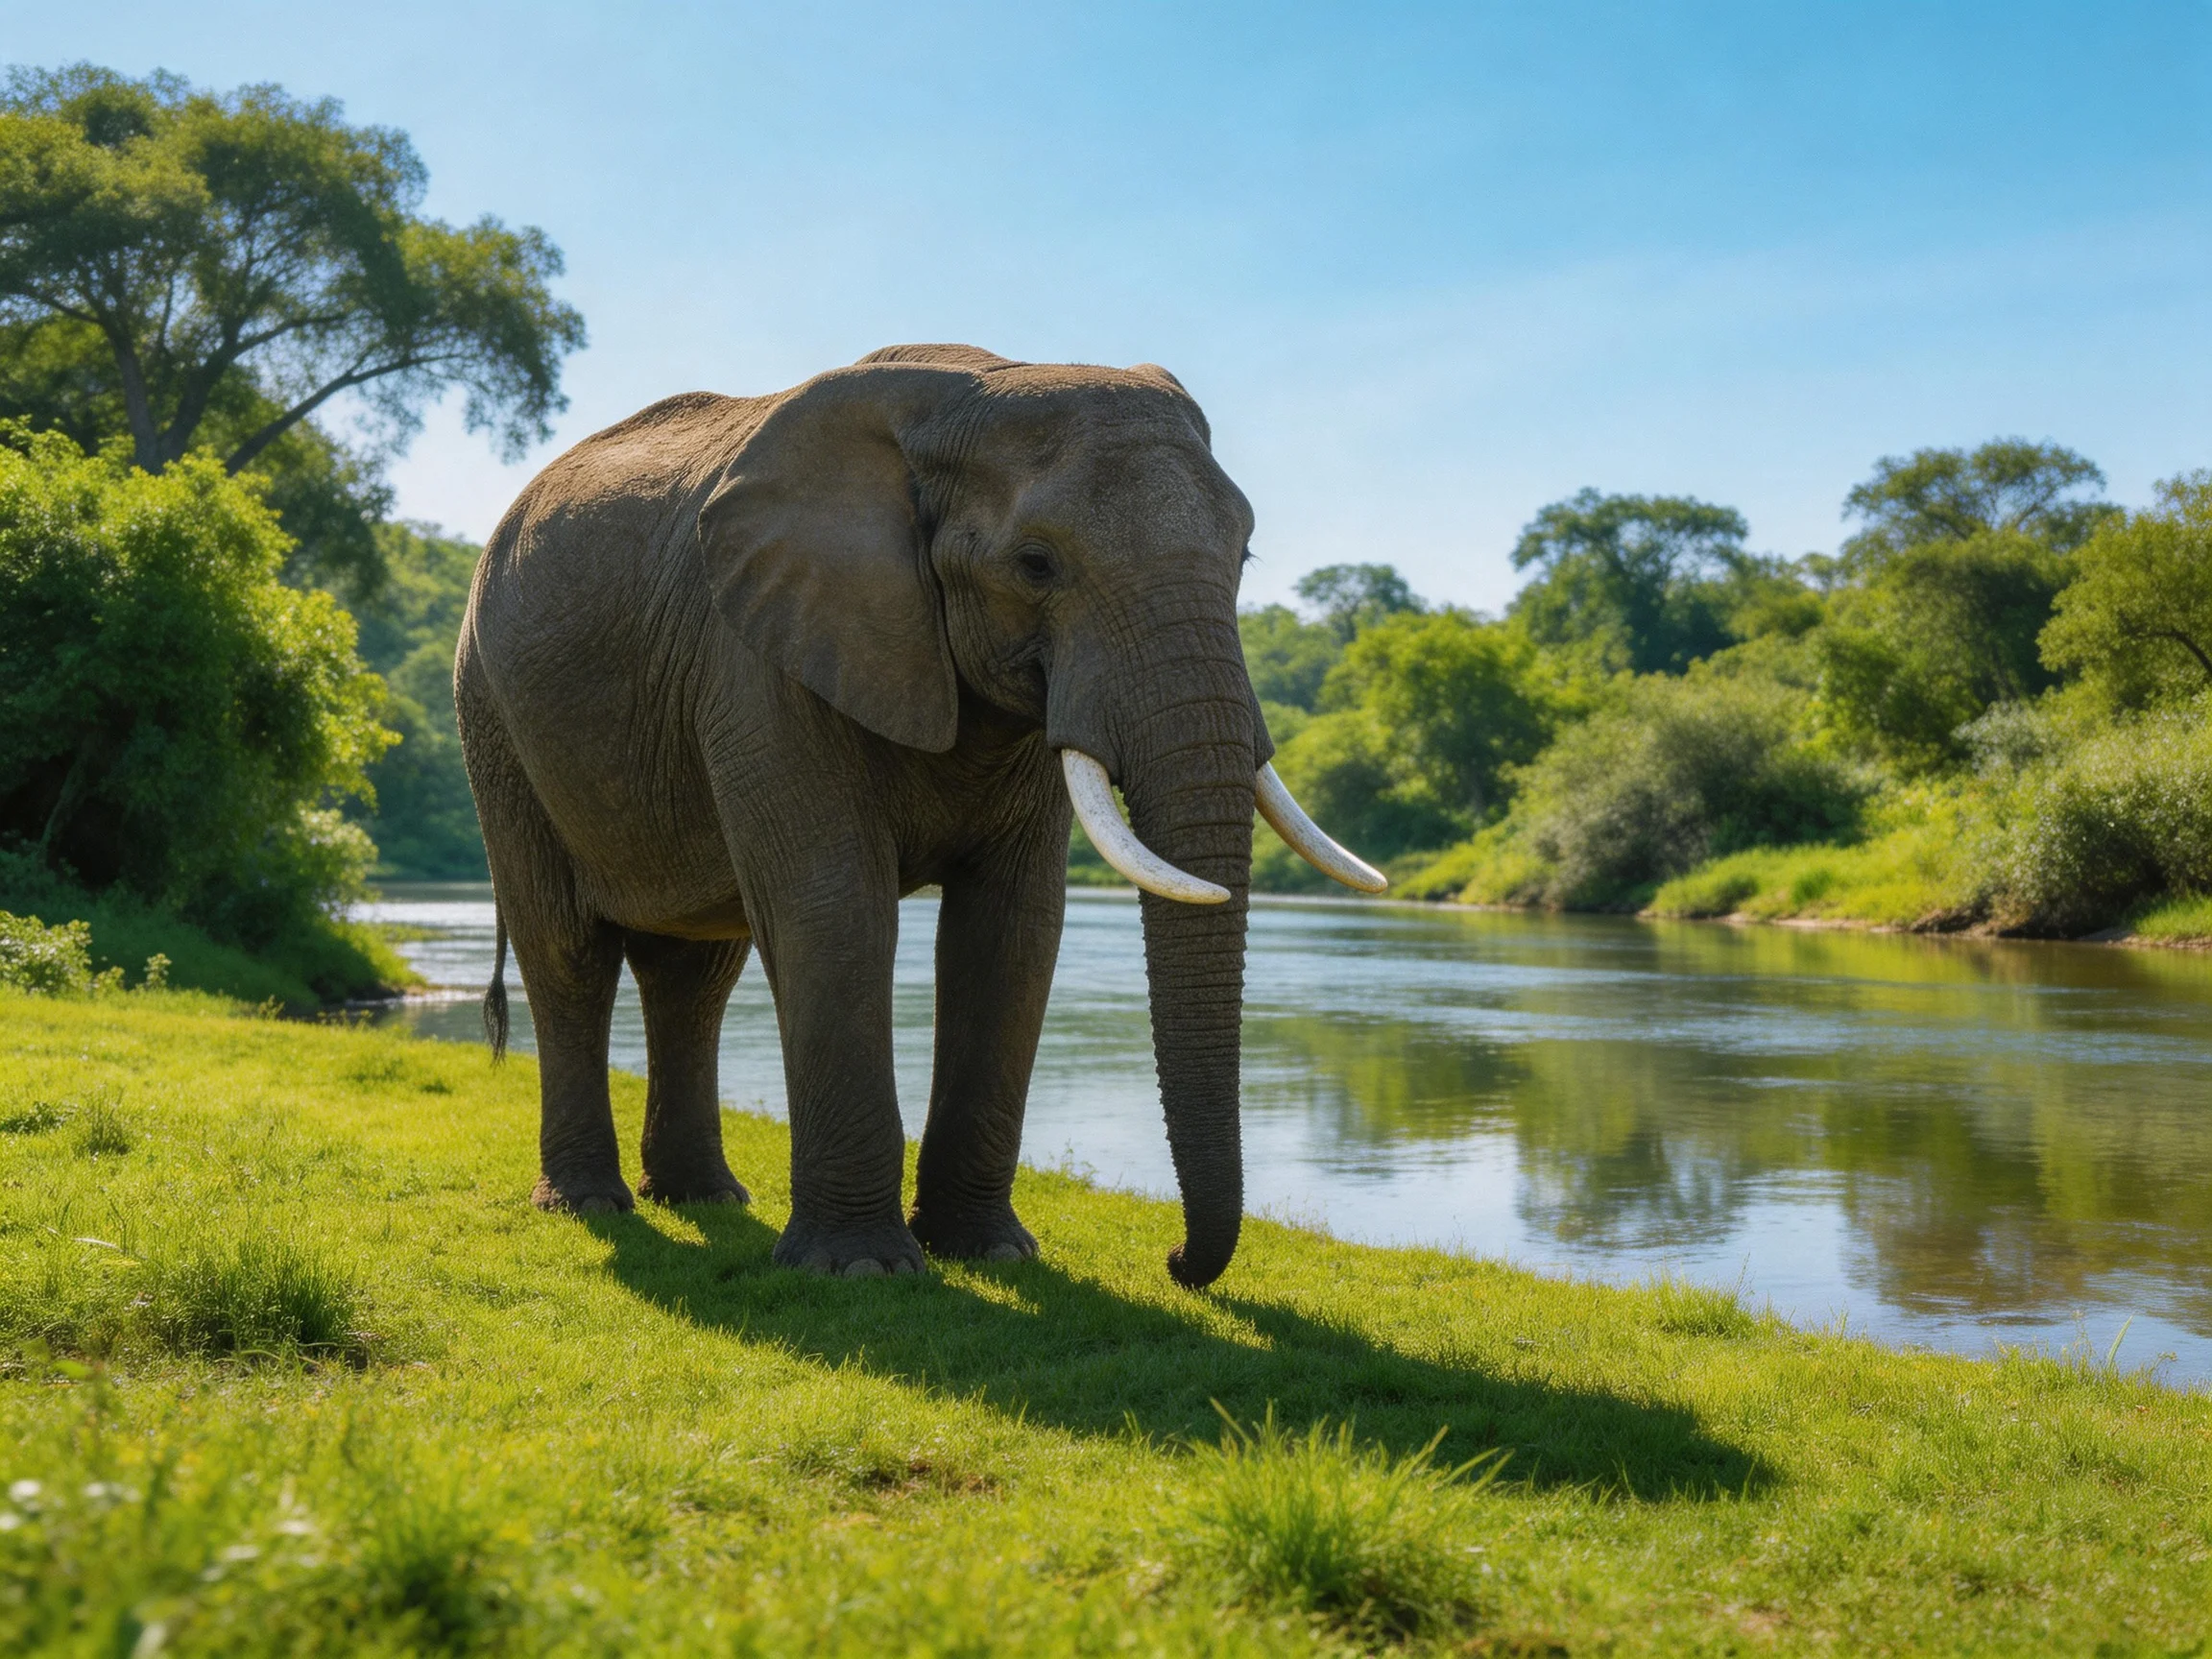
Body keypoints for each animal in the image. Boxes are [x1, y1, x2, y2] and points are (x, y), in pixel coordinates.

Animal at [454, 344, 1382, 1287]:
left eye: (1245, 554)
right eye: (1036, 564)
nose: (1176, 1261)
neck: (970, 391)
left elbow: (1013, 928)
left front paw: (989, 1252)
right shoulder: (759, 661)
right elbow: (833, 906)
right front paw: (863, 1272)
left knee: (694, 973)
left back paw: (705, 1198)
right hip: (491, 714)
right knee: (568, 952)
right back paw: (588, 1205)